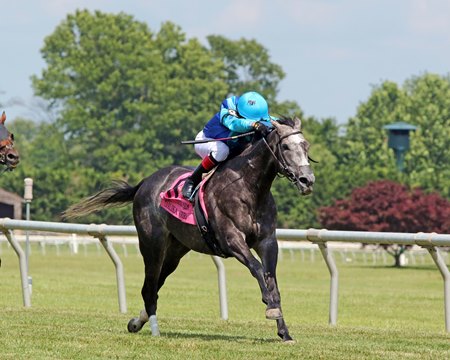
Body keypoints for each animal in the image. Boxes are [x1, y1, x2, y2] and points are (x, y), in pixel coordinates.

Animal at [65, 116, 314, 342]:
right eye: (285, 146)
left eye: (306, 146)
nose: (307, 180)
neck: (249, 188)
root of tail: (145, 182)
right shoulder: (232, 239)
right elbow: (258, 269)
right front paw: (270, 308)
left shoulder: (268, 241)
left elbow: (272, 280)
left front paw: (284, 331)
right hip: (152, 244)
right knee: (149, 287)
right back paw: (154, 330)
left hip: (176, 250)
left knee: (156, 284)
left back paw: (137, 322)